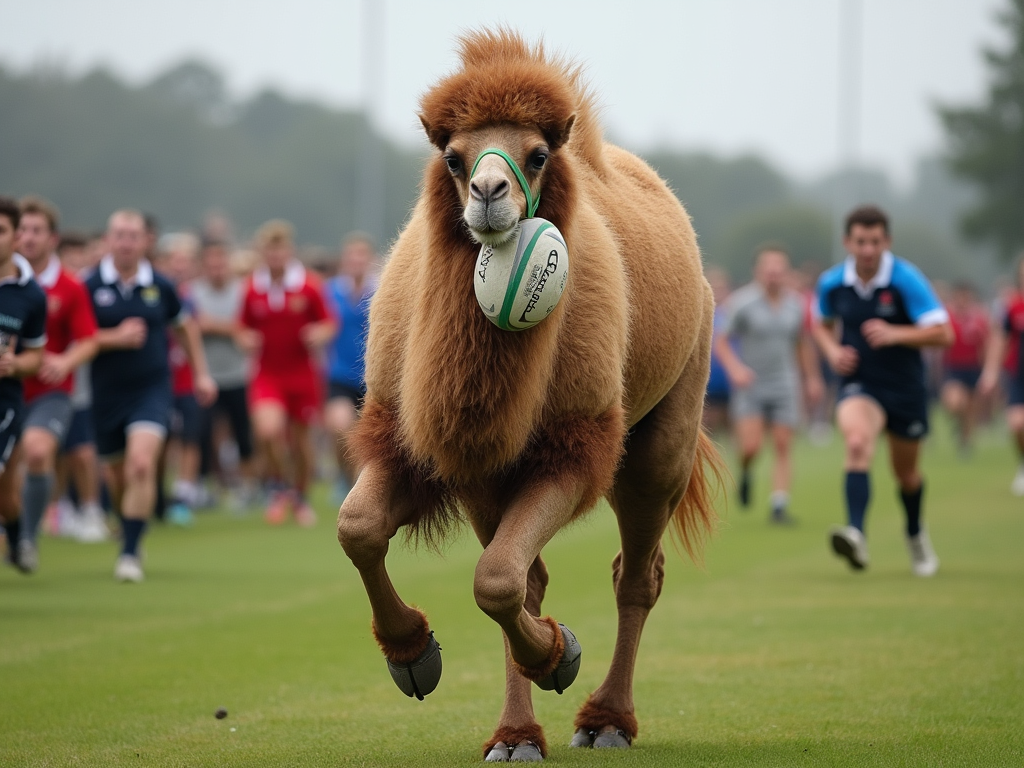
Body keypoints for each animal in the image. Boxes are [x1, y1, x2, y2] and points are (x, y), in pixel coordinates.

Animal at [337, 30, 720, 765]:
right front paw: (415, 657)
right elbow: (361, 528)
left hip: (666, 431)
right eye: (453, 158)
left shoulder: (572, 445)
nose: (490, 192)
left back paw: (606, 719)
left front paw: (557, 655)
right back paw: (525, 725)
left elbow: (495, 580)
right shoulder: (429, 445)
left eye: (537, 154)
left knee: (636, 575)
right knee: (531, 573)